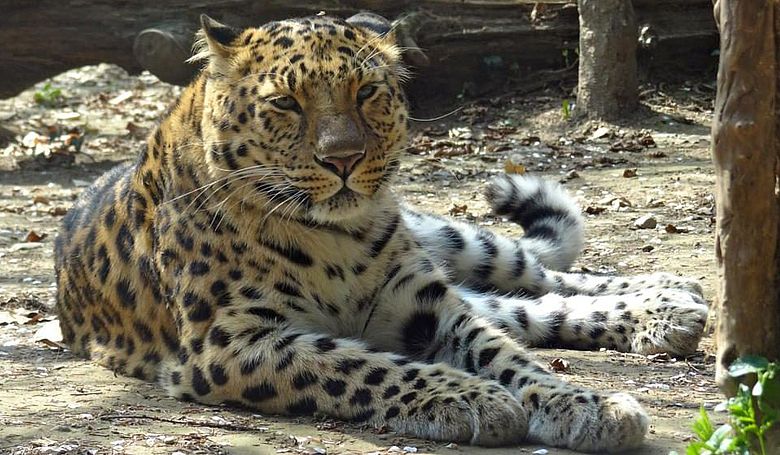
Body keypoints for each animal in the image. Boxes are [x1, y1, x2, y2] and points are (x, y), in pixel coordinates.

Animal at [54, 12, 708, 453]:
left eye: (367, 92)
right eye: (286, 103)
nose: (343, 159)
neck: (332, 238)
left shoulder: (427, 303)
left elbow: (507, 356)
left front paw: (582, 403)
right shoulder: (230, 343)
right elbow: (363, 365)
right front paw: (469, 398)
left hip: (452, 241)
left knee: (541, 276)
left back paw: (673, 295)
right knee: (529, 307)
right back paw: (671, 308)